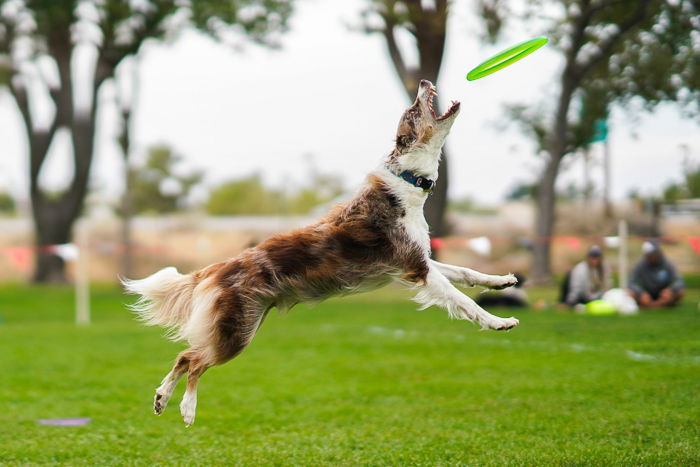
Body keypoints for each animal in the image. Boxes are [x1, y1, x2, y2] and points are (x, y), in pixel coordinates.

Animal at [123, 80, 516, 428]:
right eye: (413, 110)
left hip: (242, 324)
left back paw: (161, 399)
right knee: (194, 360)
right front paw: (498, 321)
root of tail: (216, 268)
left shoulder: (417, 262)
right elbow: (463, 300)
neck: (407, 183)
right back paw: (186, 409)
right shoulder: (416, 267)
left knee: (185, 356)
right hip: (237, 332)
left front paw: (501, 281)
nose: (422, 80)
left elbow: (465, 272)